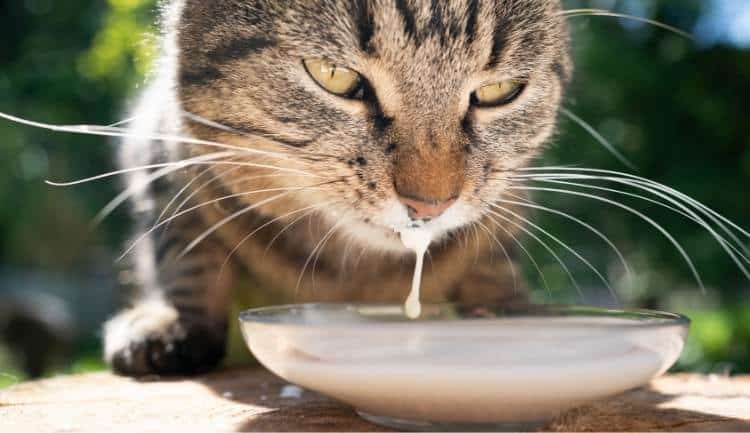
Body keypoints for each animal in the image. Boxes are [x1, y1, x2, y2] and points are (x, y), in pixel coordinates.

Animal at [106, 0, 572, 374]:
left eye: (499, 91)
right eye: (333, 75)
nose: (430, 205)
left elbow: (492, 256)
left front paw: (507, 311)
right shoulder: (162, 152)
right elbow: (182, 247)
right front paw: (171, 320)